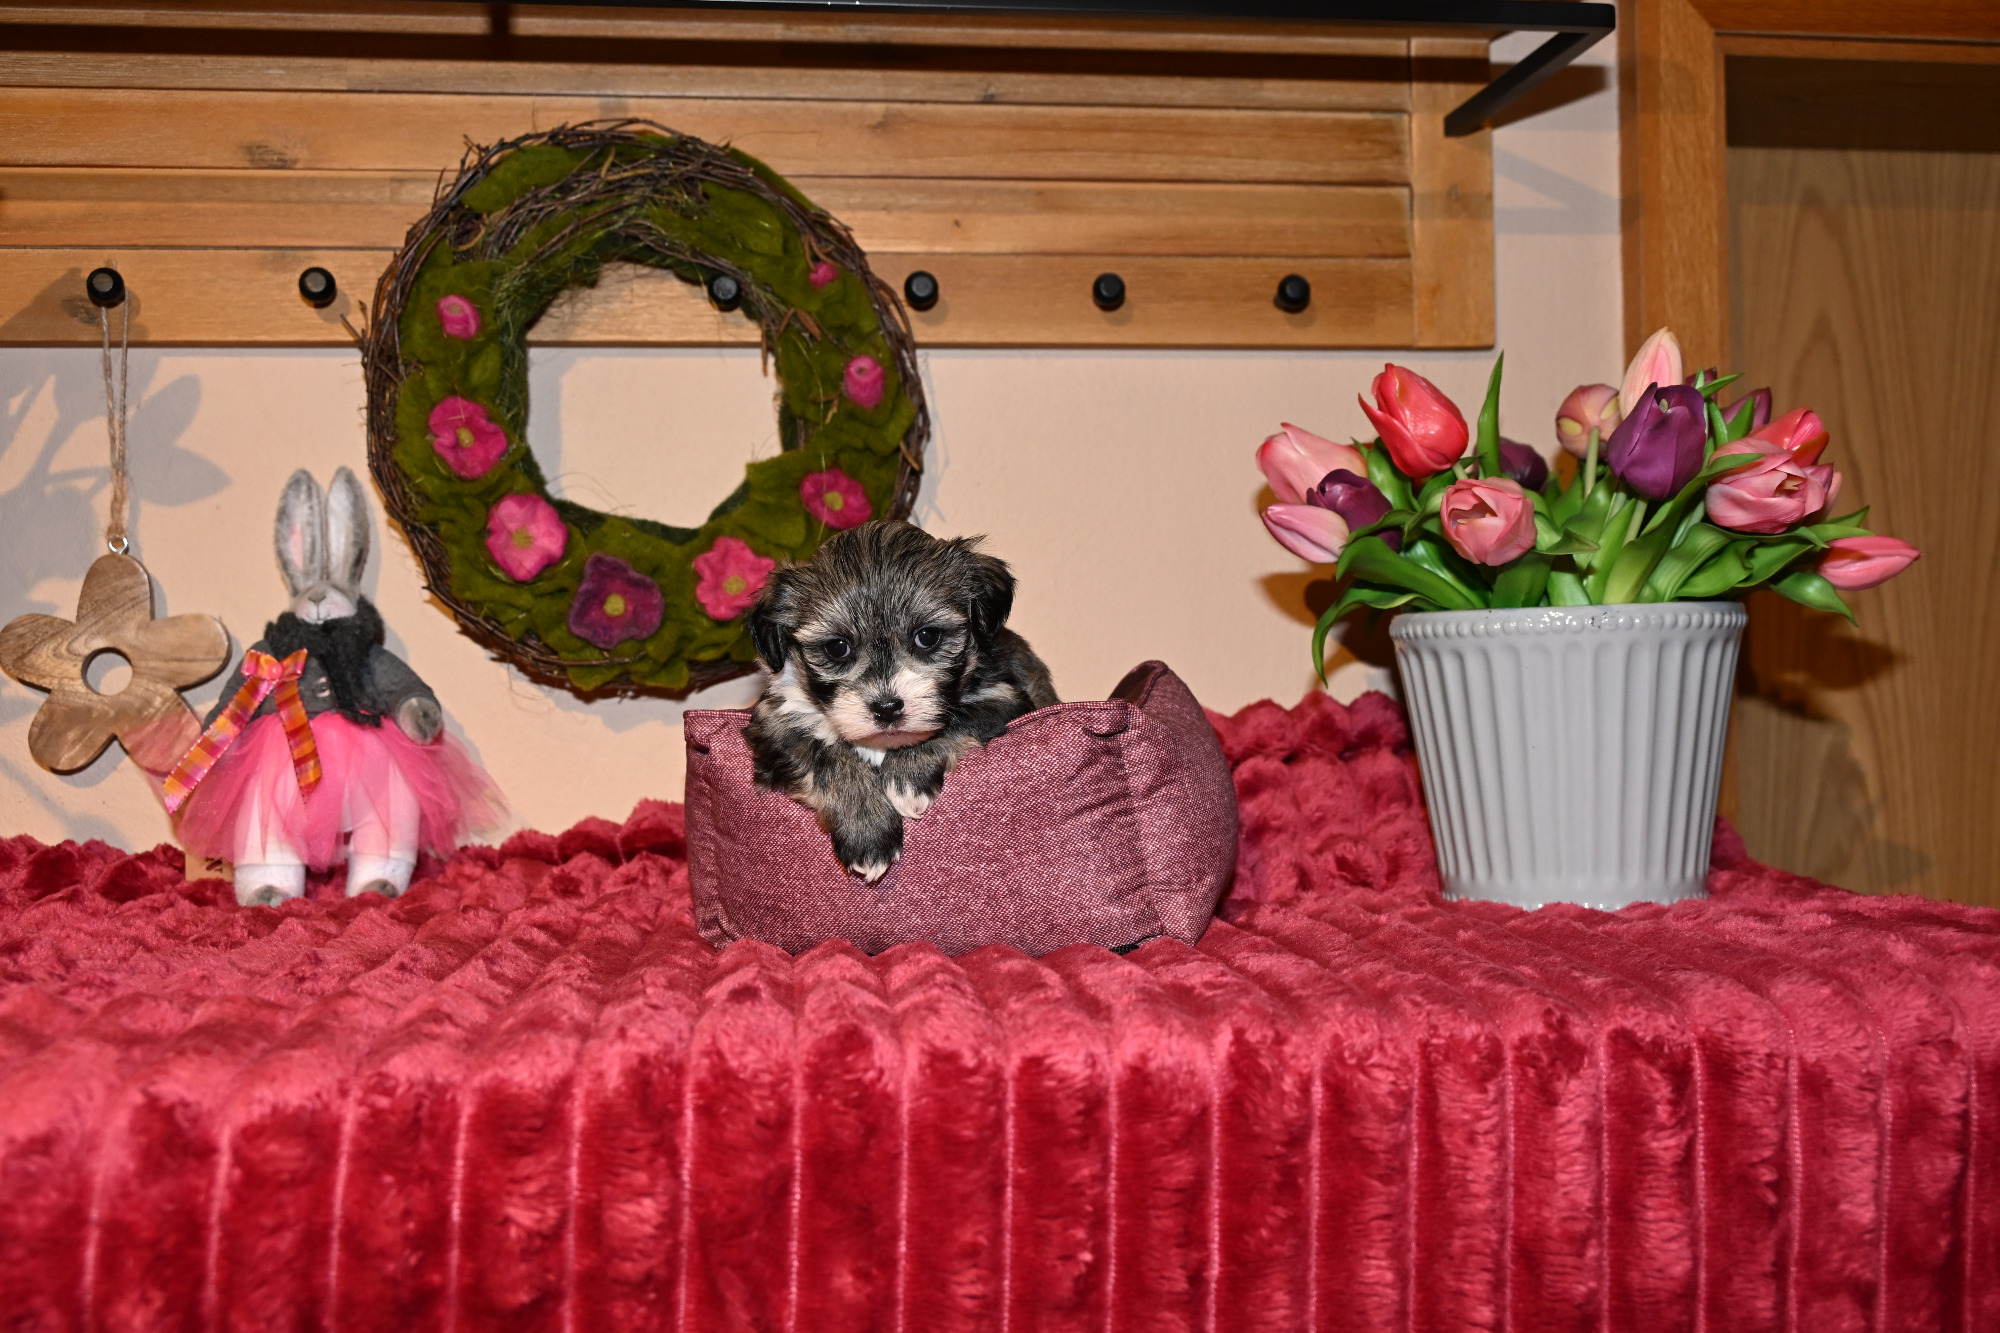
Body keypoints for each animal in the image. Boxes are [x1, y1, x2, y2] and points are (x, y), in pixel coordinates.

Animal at [743, 520, 1058, 881]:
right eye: (837, 647)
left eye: (927, 636)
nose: (886, 708)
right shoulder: (777, 718)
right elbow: (822, 754)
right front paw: (867, 830)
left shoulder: (1004, 695)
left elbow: (959, 718)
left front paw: (906, 776)